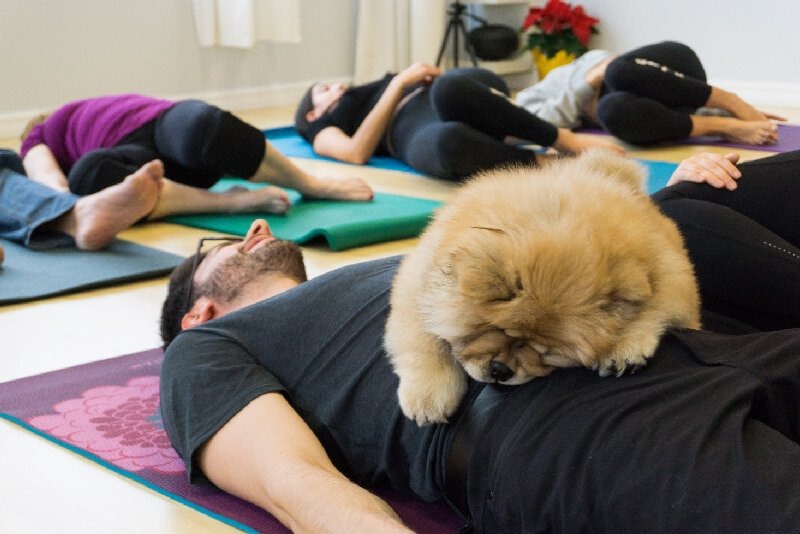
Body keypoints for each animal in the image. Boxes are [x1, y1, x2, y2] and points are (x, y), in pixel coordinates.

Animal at [384, 150, 704, 428]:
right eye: (489, 330)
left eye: (546, 352)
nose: (501, 370)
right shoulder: (414, 280)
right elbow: (423, 340)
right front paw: (429, 398)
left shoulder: (673, 274)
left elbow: (656, 308)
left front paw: (624, 346)